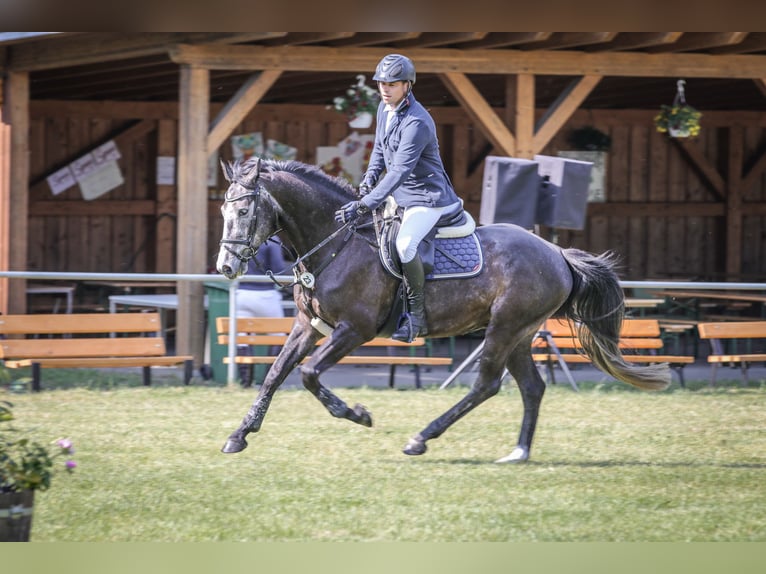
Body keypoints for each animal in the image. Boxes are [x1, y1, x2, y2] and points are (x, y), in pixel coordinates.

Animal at [216, 156, 672, 464]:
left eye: (244, 211)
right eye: (223, 210)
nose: (226, 267)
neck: (335, 240)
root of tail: (557, 252)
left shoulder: (354, 330)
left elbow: (309, 374)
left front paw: (356, 414)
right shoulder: (308, 326)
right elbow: (275, 375)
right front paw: (239, 435)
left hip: (503, 329)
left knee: (486, 385)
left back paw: (421, 438)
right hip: (521, 334)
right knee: (531, 387)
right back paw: (519, 452)